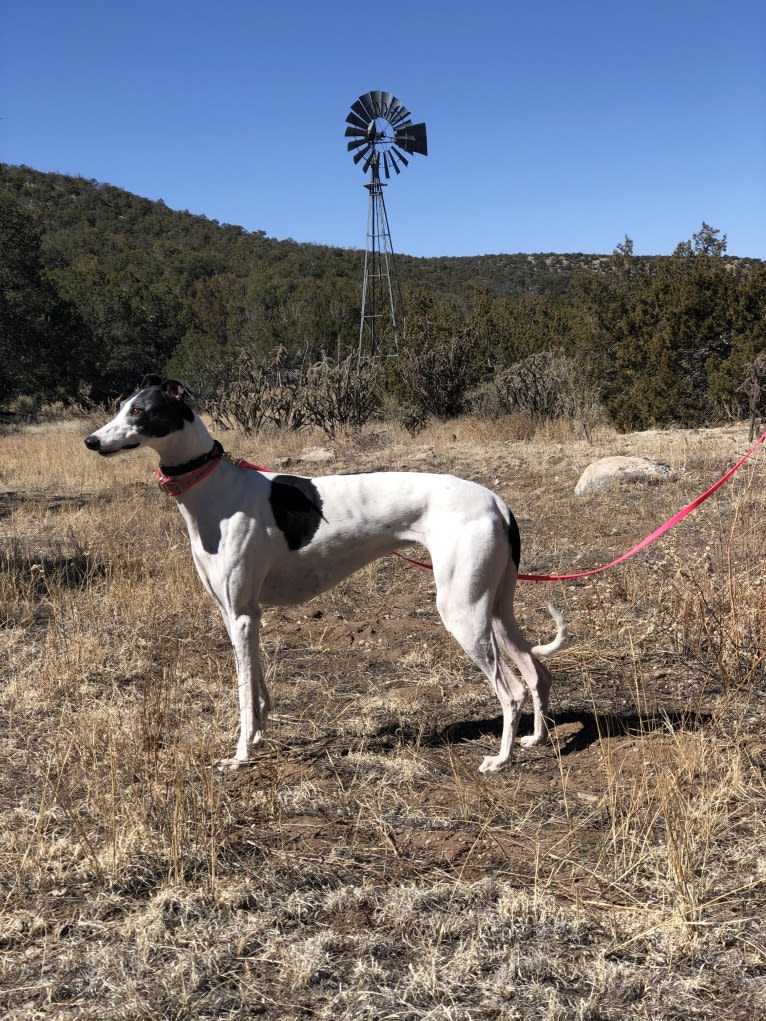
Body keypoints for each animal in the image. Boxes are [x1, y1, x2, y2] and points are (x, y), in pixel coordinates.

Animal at [85, 377, 571, 771]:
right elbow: (257, 689)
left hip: (462, 612)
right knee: (535, 673)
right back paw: (534, 739)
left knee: (511, 689)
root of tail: (496, 501)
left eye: (139, 411)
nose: (91, 441)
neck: (215, 490)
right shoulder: (242, 614)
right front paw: (258, 737)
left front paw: (240, 756)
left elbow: (242, 695)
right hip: (495, 608)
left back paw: (500, 759)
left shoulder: (239, 615)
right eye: (120, 406)